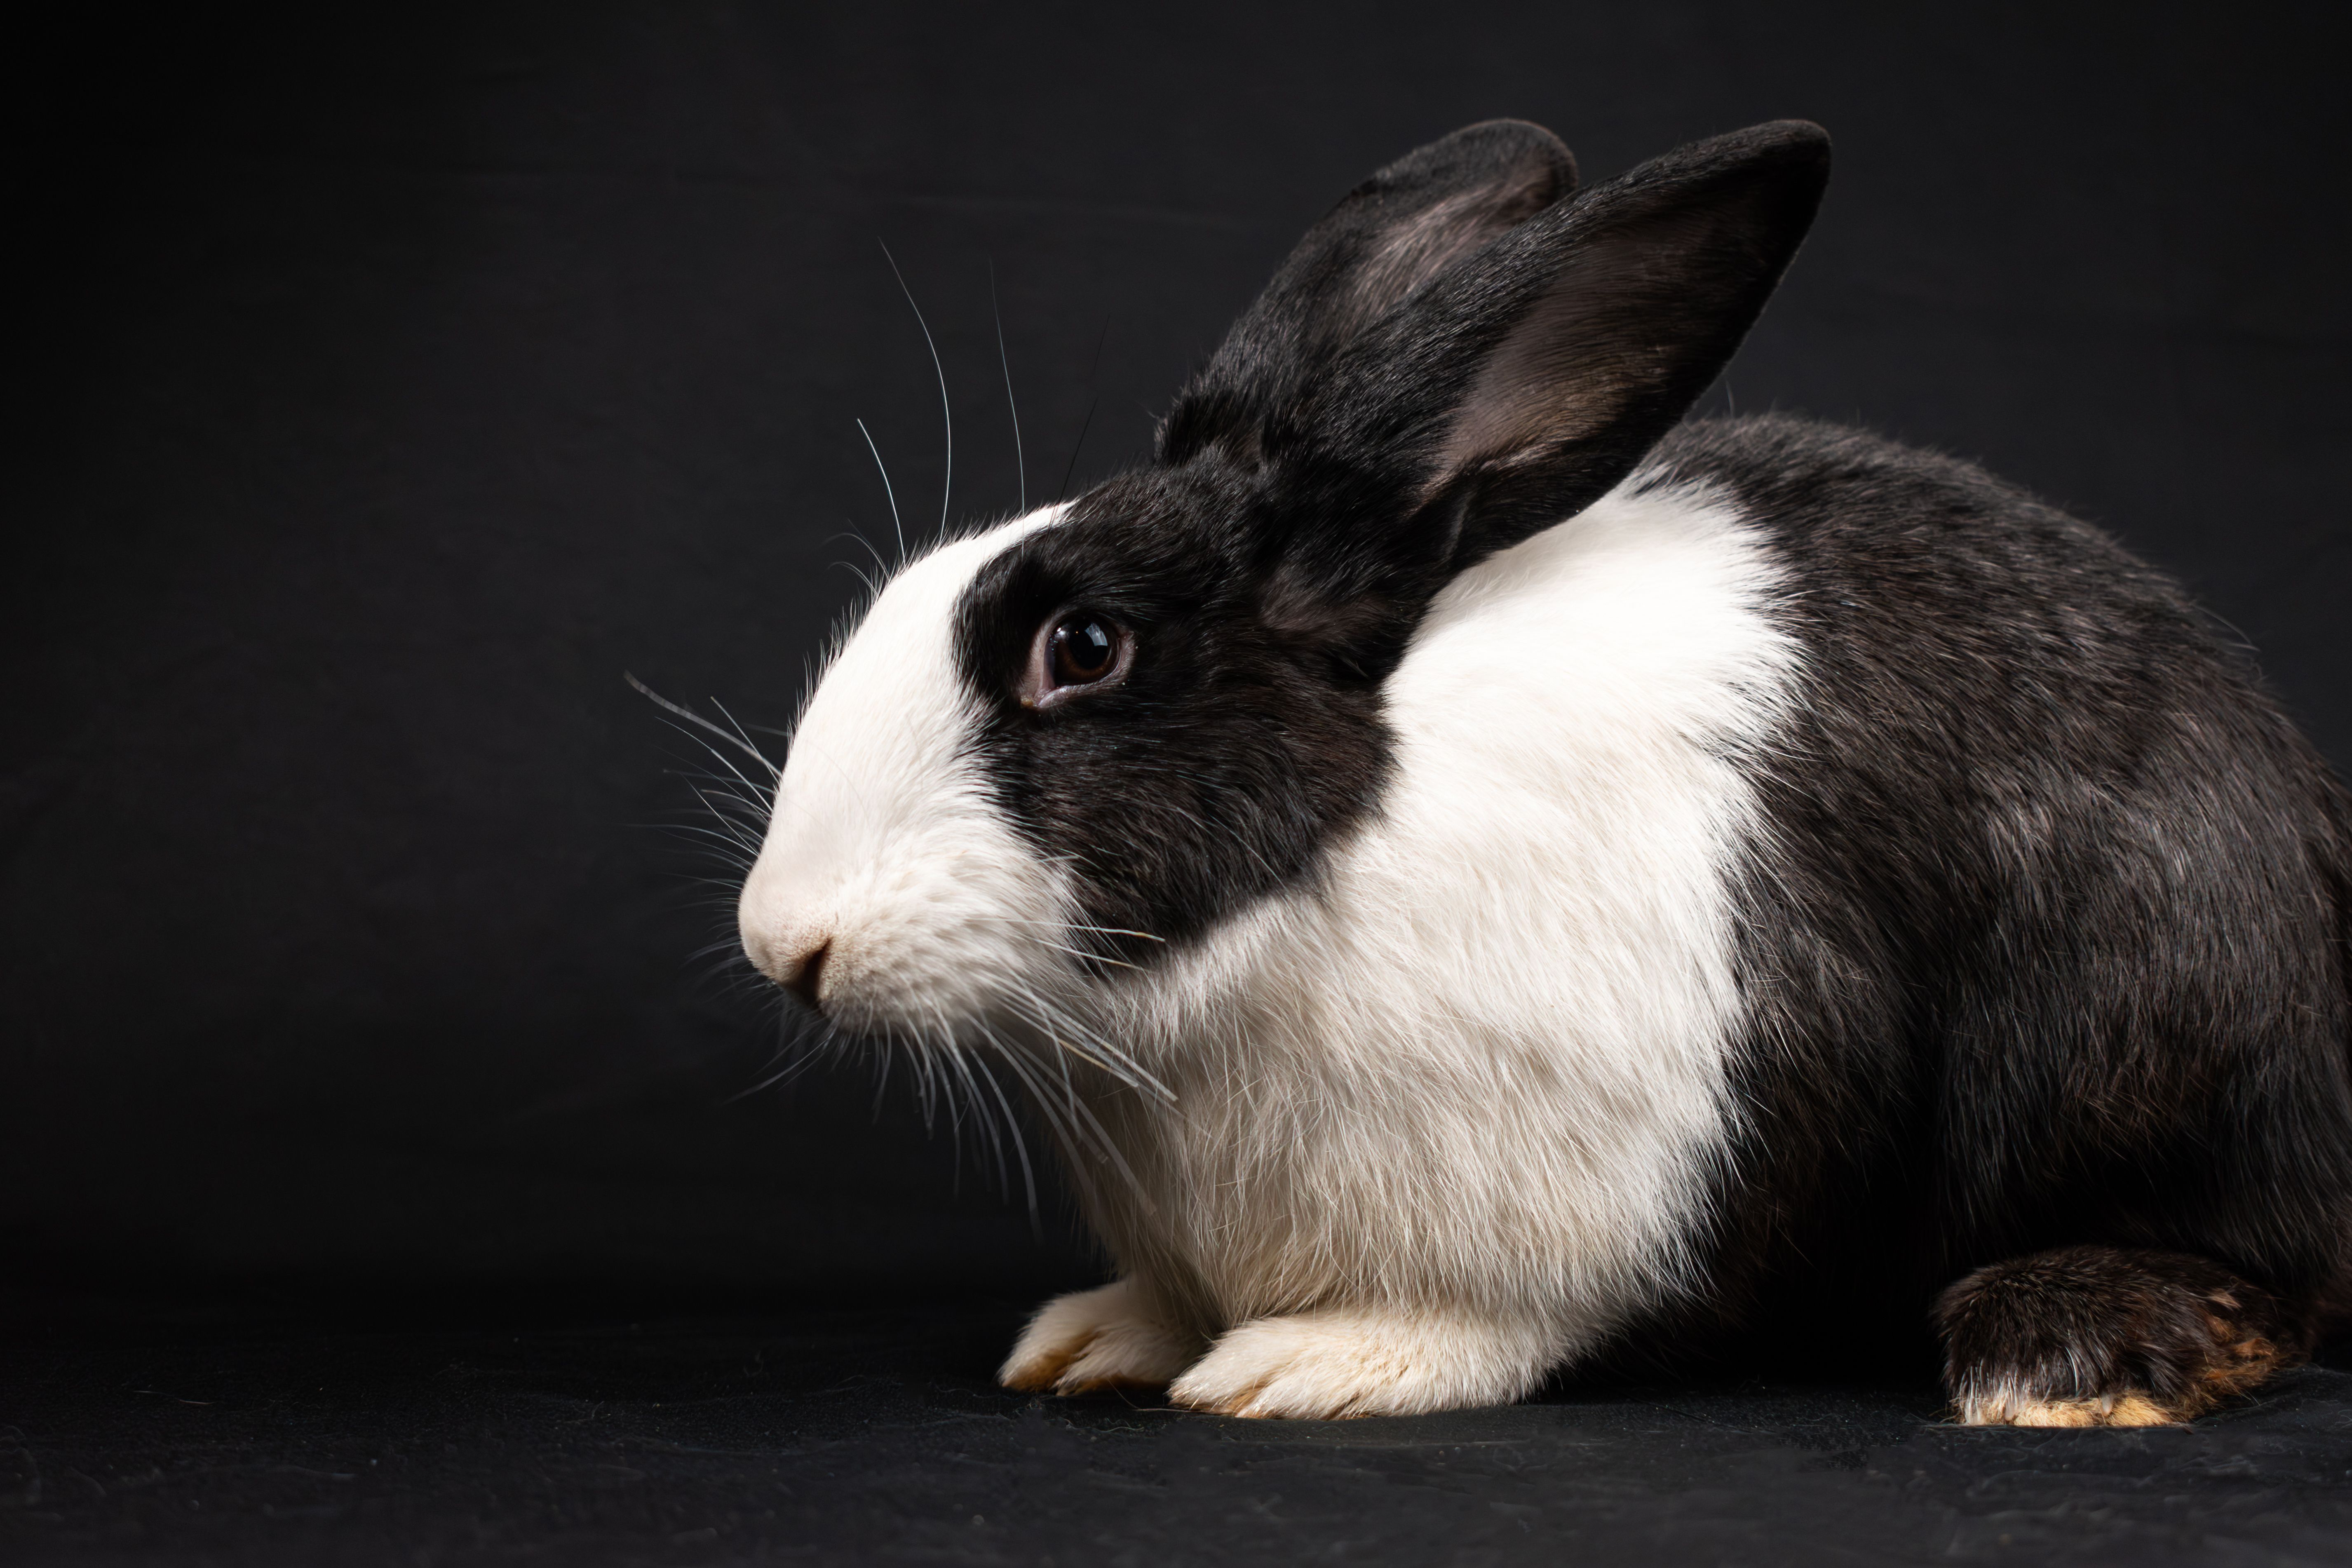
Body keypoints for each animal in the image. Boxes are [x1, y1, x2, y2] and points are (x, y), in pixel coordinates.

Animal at [734, 117, 2352, 1425]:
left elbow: (1506, 1318)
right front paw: (1092, 1338)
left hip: (2150, 1011)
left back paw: (2056, 1357)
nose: (781, 942)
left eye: (1081, 646)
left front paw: (1308, 1365)